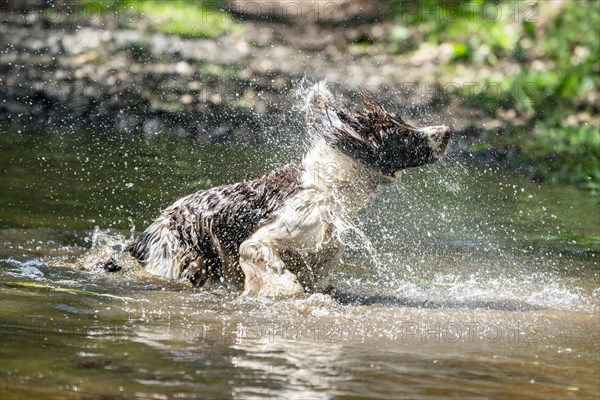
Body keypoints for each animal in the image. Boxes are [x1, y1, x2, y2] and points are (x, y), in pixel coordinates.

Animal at [124, 84, 450, 296]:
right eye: (402, 136)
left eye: (404, 124)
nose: (447, 130)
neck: (330, 187)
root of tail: (146, 236)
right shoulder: (262, 241)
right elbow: (279, 274)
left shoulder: (322, 253)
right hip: (181, 259)